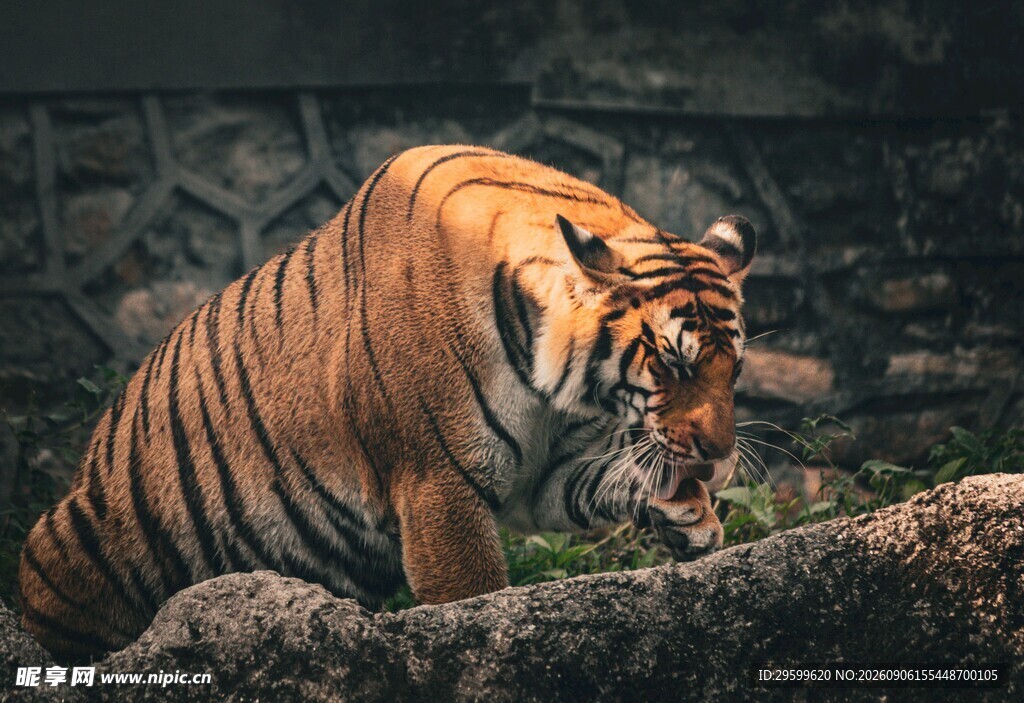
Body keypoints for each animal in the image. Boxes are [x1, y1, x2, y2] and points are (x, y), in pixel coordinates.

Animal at [18, 145, 756, 661]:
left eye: (734, 366)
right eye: (670, 362)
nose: (720, 454)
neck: (554, 386)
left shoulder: (547, 475)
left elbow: (605, 479)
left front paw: (692, 514)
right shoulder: (437, 483)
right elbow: (475, 602)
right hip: (63, 544)